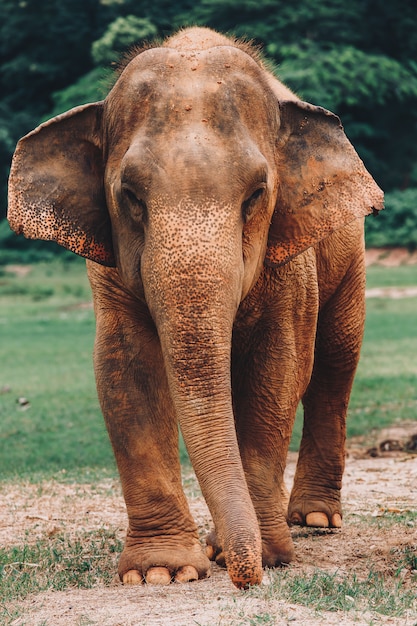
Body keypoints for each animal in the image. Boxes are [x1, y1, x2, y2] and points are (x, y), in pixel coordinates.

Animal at [7, 26, 384, 588]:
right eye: (131, 196)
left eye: (256, 194)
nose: (246, 579)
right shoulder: (111, 271)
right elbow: (125, 370)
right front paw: (163, 573)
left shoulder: (288, 258)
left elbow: (279, 369)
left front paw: (259, 555)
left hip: (348, 252)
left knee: (335, 364)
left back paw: (314, 519)